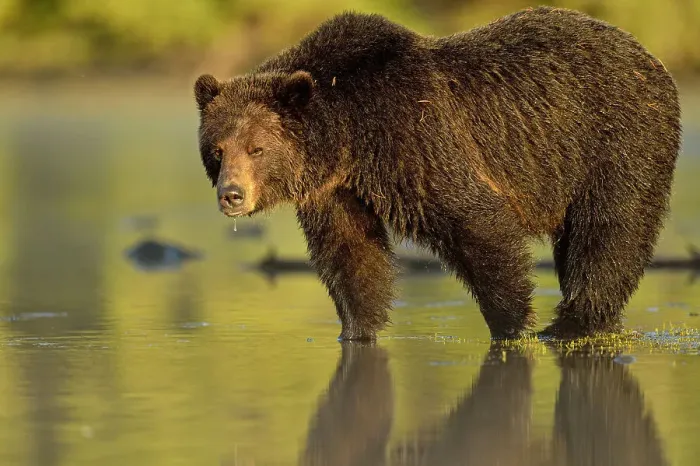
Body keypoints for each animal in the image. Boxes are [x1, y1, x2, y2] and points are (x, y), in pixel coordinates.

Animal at [193, 6, 681, 340]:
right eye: (217, 150)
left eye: (256, 148)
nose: (232, 195)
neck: (349, 132)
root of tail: (650, 57)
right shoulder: (336, 188)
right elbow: (351, 254)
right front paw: (356, 329)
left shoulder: (416, 138)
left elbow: (475, 221)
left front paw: (514, 324)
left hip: (615, 141)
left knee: (609, 231)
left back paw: (571, 324)